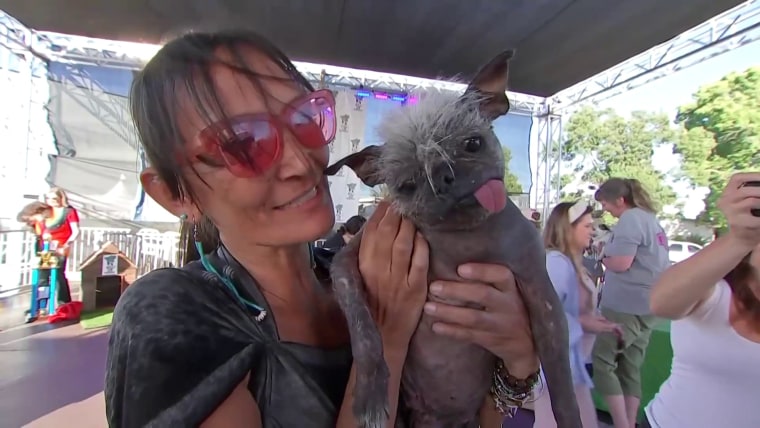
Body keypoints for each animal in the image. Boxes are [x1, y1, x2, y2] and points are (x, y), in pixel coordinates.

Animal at [324, 51, 580, 428]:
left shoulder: (543, 300)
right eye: (407, 185)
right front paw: (371, 390)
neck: (464, 238)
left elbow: (562, 384)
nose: (443, 176)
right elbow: (364, 331)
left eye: (472, 143)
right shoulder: (345, 263)